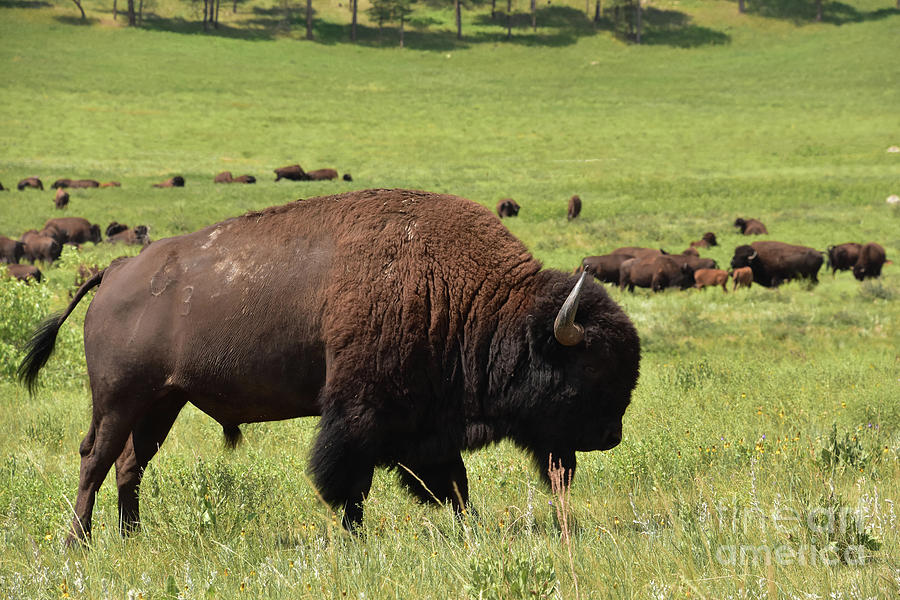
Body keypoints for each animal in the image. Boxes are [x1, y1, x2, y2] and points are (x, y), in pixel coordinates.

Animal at [21, 190, 640, 548]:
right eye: (588, 370)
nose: (610, 436)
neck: (467, 295)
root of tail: (115, 270)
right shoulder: (359, 414)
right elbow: (350, 482)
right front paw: (354, 540)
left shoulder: (422, 428)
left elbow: (453, 485)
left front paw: (469, 531)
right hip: (118, 398)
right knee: (95, 458)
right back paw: (79, 544)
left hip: (162, 402)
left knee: (130, 464)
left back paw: (131, 538)